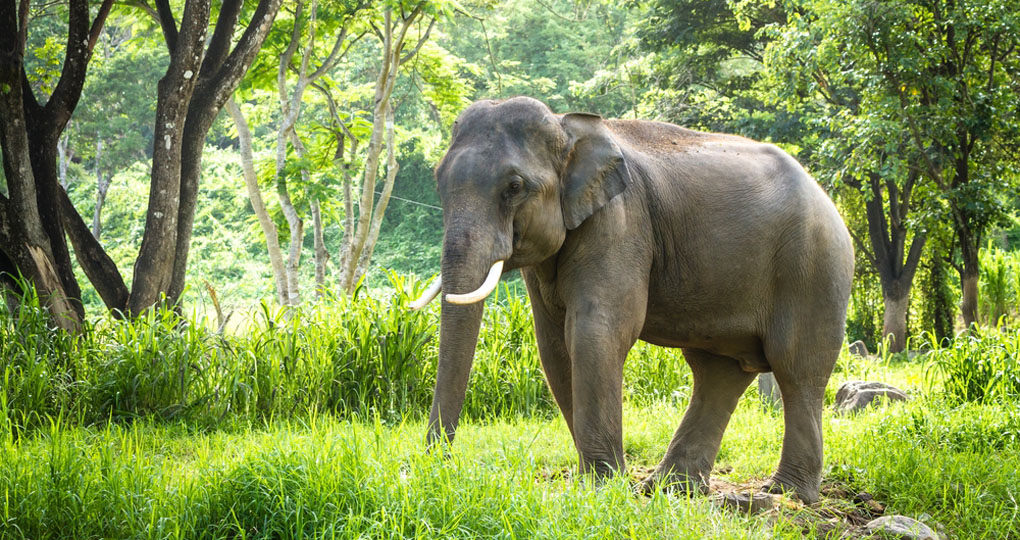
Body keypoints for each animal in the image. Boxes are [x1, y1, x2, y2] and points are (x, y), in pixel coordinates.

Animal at [410, 96, 853, 504]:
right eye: (437, 179)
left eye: (514, 187)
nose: (439, 468)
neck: (567, 126)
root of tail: (826, 196)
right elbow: (553, 346)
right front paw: (603, 483)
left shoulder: (621, 222)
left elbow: (596, 332)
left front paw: (603, 487)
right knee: (718, 372)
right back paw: (670, 488)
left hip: (814, 268)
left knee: (796, 368)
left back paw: (784, 495)